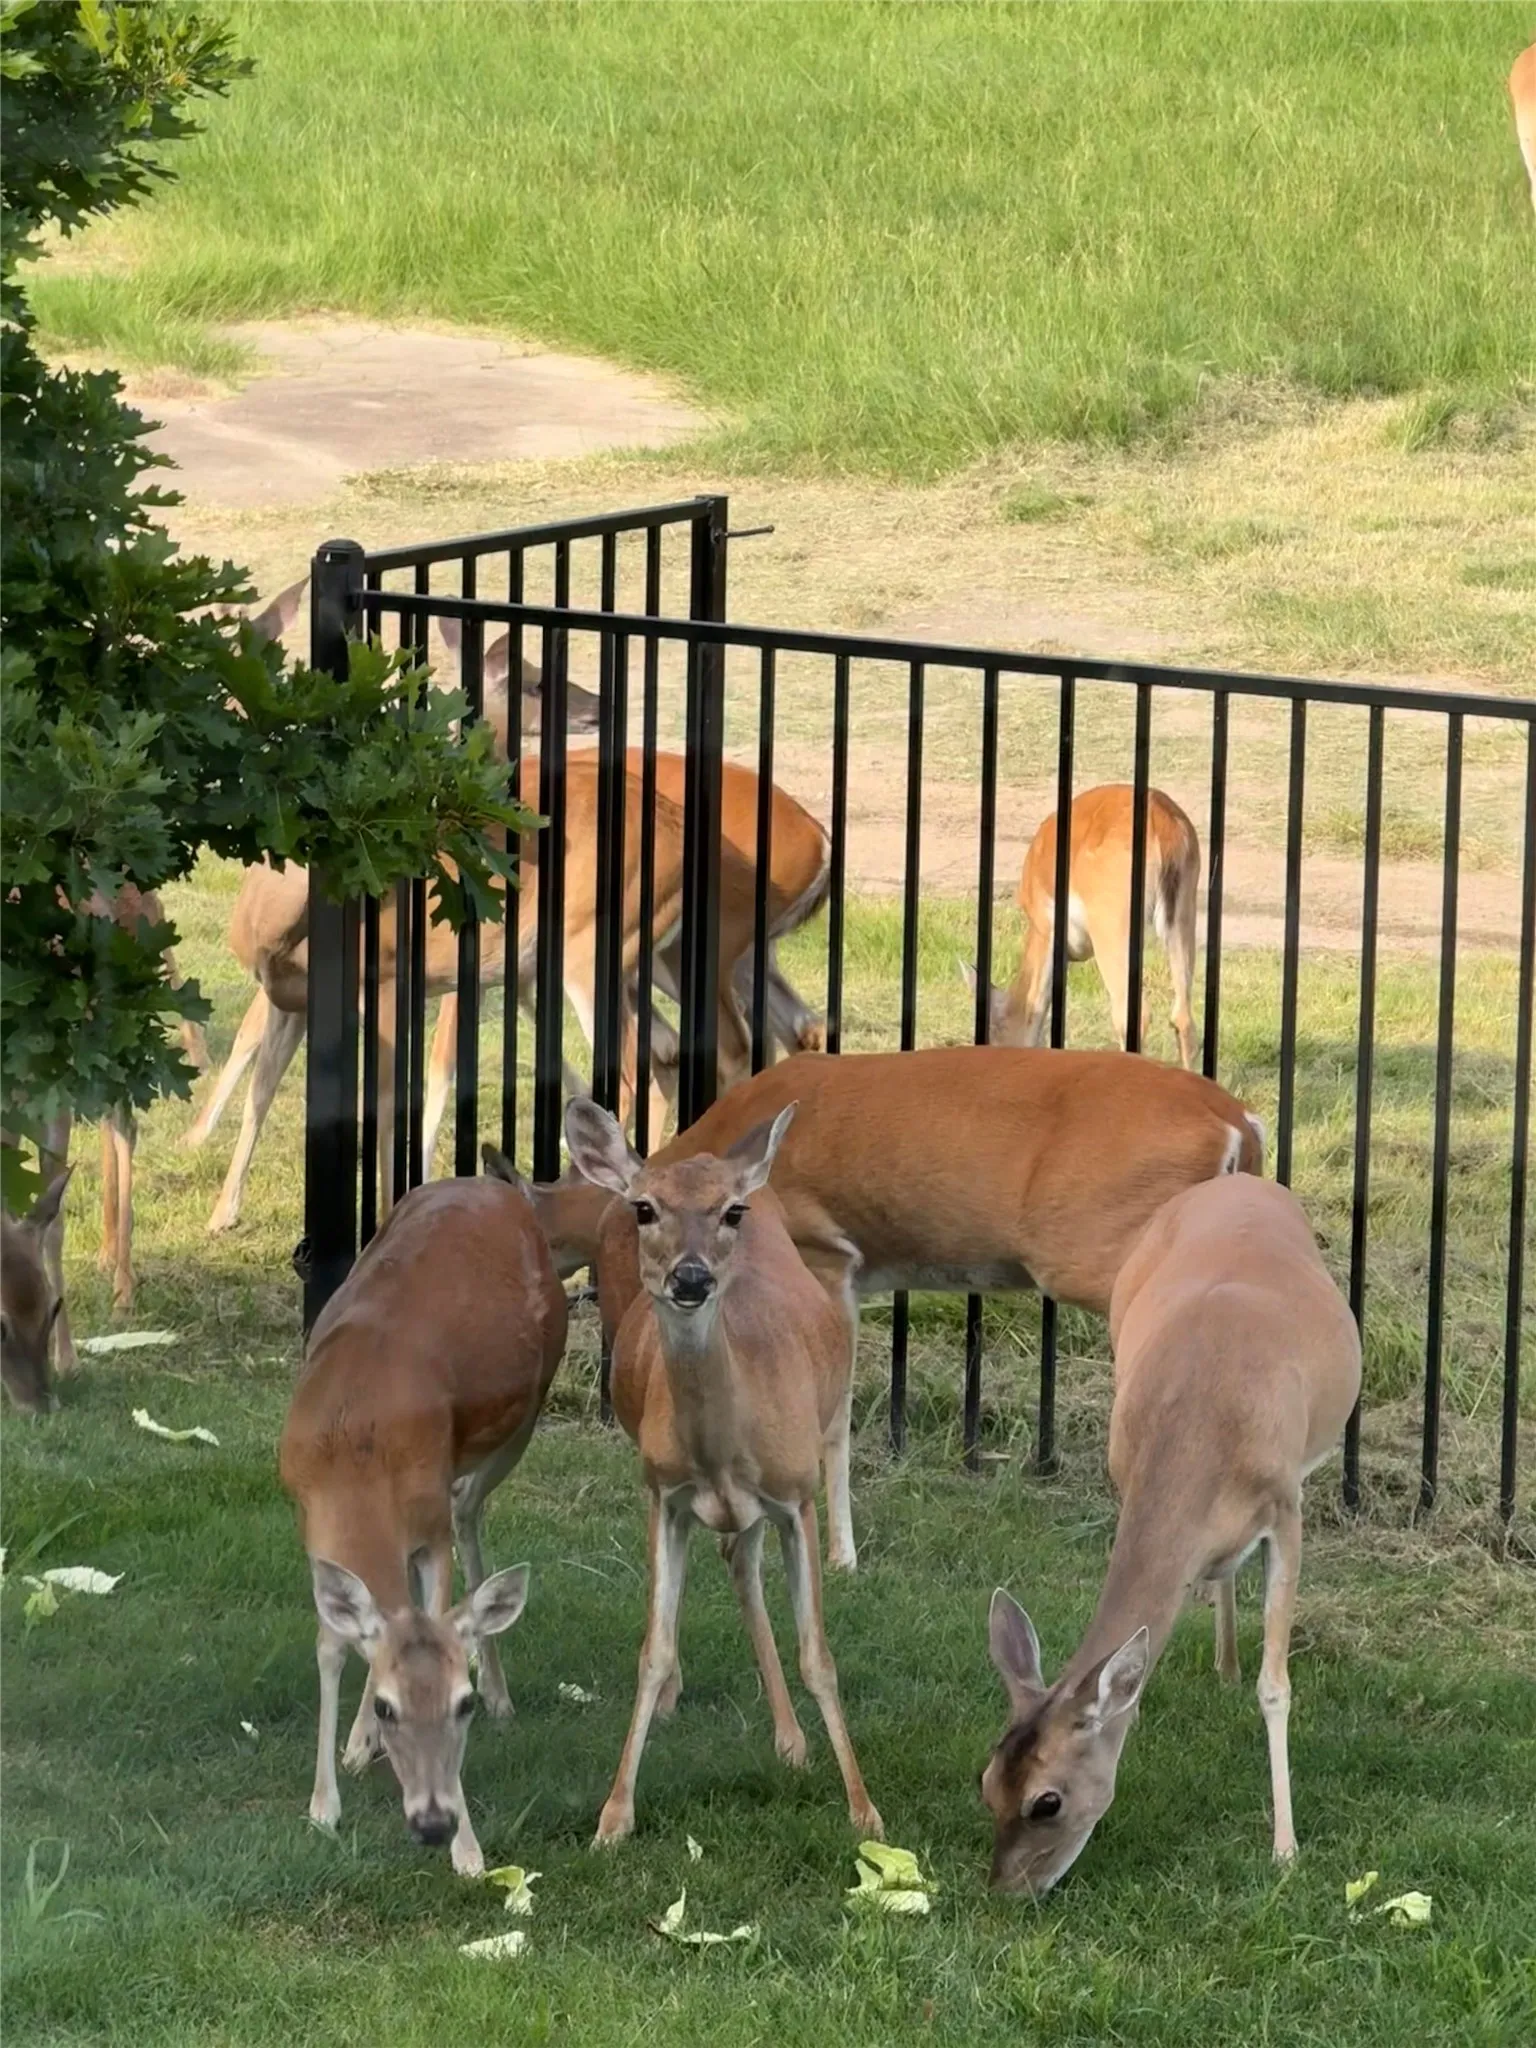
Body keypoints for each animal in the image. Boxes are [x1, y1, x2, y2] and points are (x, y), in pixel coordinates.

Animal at [279, 1168, 567, 1875]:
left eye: (460, 1705)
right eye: (390, 1705)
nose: (433, 1823)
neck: (354, 1450)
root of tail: (492, 1183)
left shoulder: (428, 1525)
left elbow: (440, 1611)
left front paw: (471, 1851)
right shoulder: (310, 1523)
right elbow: (334, 1643)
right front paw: (326, 1802)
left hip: (521, 1419)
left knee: (470, 1515)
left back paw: (503, 1694)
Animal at [528, 1045, 1266, 1574]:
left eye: (632, 1219)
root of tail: (1238, 1122)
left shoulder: (824, 1253)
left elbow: (832, 1418)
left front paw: (841, 1557)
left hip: (1113, 1256)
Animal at [563, 1097, 882, 1848]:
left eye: (730, 1213)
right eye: (644, 1208)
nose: (691, 1278)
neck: (720, 1452)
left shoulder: (797, 1497)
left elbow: (819, 1654)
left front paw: (865, 1810)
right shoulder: (664, 1494)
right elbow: (653, 1649)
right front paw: (613, 1818)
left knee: (744, 1561)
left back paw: (794, 1740)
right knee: (735, 1563)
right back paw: (779, 1734)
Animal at [982, 1173, 1361, 1896]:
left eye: (1048, 1801)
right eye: (986, 1781)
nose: (1008, 1890)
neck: (1203, 1421)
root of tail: (1239, 1179)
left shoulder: (1287, 1506)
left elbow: (1277, 1687)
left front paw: (1285, 1849)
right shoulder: (1125, 1476)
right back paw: (1223, 1663)